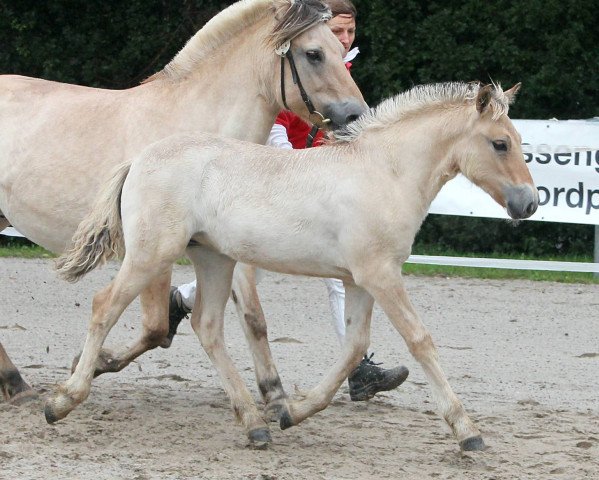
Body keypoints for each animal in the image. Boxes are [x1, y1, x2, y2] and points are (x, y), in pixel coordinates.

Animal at [0, 0, 366, 406]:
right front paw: (90, 366)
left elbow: (253, 319)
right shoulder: (152, 251)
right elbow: (156, 327)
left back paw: (16, 385)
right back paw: (18, 386)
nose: (356, 115)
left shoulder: (228, 246)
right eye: (313, 53)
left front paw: (274, 395)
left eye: (340, 49)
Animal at [55, 81, 540, 450]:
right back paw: (62, 401)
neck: (383, 172)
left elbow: (353, 347)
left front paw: (292, 412)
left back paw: (255, 424)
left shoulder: (360, 281)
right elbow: (420, 341)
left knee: (207, 326)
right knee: (104, 306)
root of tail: (139, 159)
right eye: (500, 143)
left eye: (519, 142)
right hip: (151, 253)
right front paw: (468, 432)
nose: (530, 203)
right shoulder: (381, 275)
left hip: (214, 257)